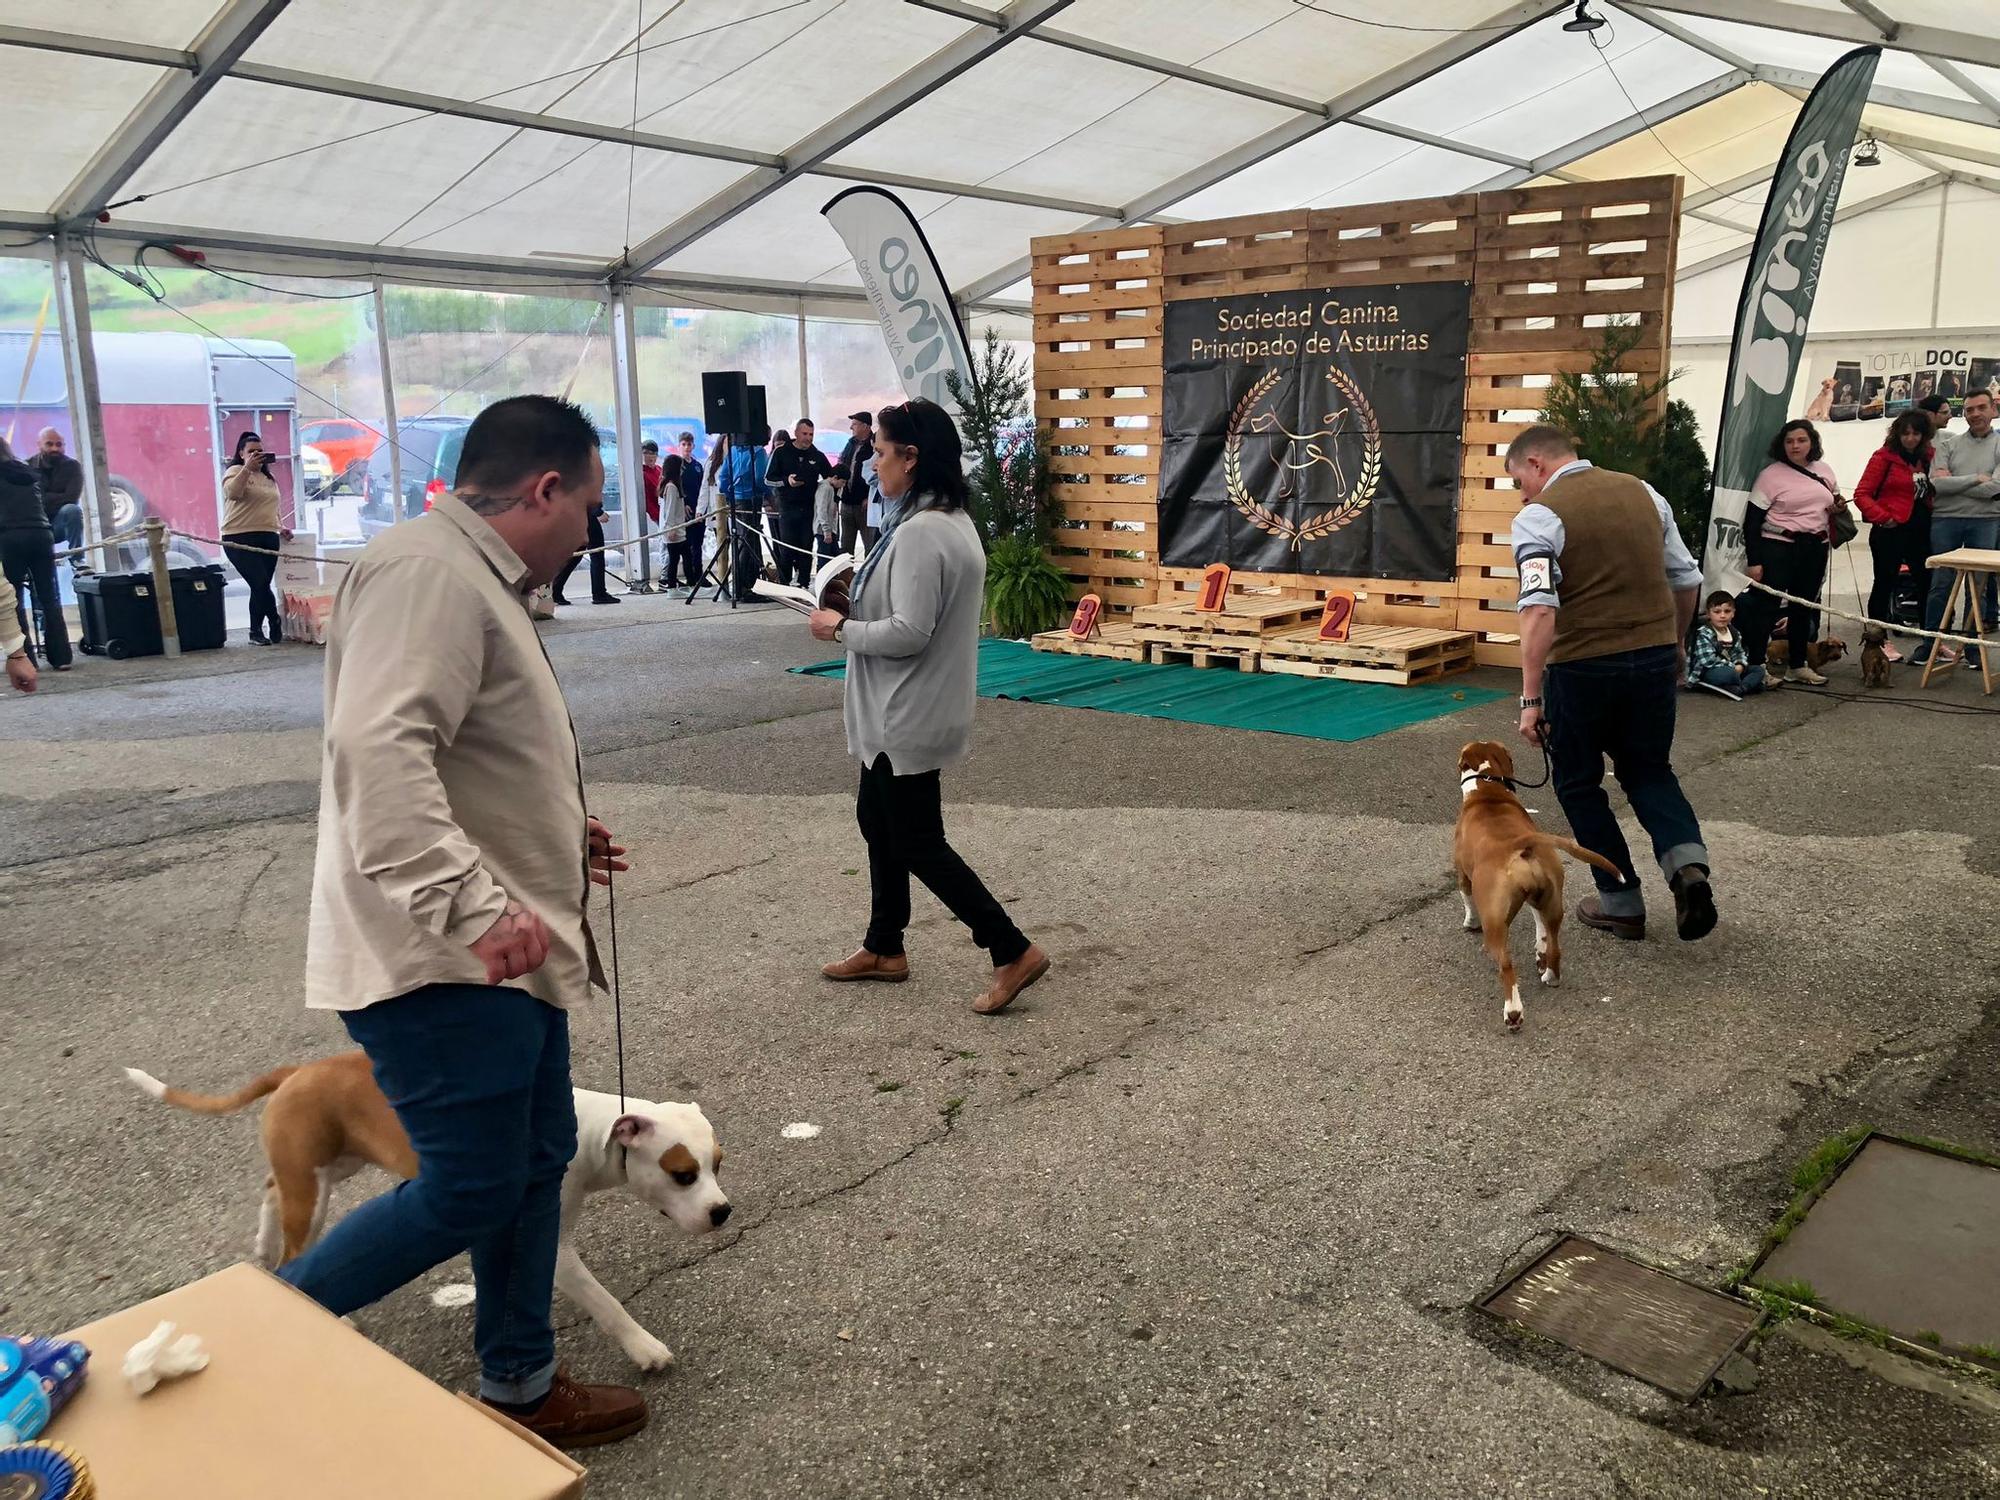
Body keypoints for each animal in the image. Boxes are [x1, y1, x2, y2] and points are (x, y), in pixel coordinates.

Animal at [121, 1056, 728, 1376]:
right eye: (682, 1173)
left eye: (718, 1164)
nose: (723, 1211)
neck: (589, 1134)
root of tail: (299, 1069)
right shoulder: (553, 1246)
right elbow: (606, 1302)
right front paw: (644, 1348)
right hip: (313, 1189)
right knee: (298, 1246)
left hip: (328, 1168)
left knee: (271, 1190)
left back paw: (262, 1246)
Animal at [1456, 740, 1624, 1032]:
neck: (1487, 789)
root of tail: (1520, 843)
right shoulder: (1537, 898)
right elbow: (1540, 929)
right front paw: (1539, 951)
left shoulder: (1462, 876)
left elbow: (1467, 901)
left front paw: (1469, 923)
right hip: (1553, 901)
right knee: (1555, 944)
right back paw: (1550, 975)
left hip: (1495, 924)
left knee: (1506, 966)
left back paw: (1513, 1012)